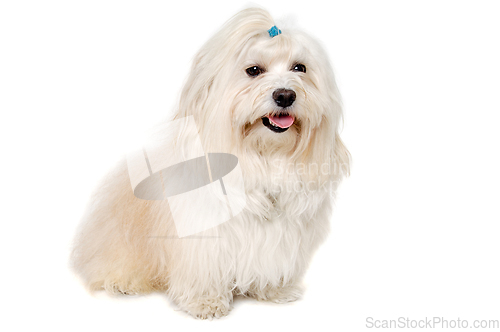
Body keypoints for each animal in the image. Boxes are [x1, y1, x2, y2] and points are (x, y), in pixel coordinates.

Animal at [72, 7, 350, 320]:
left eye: (299, 68)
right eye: (254, 70)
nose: (285, 95)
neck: (264, 157)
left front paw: (274, 290)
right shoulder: (203, 235)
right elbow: (204, 269)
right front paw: (205, 302)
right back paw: (123, 282)